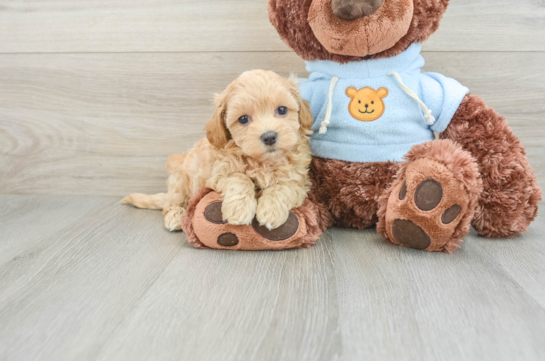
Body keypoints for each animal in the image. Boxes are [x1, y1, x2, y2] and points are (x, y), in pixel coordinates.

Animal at [121, 69, 312, 231]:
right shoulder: (219, 173)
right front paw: (239, 209)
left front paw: (271, 211)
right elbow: (240, 178)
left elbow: (283, 187)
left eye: (282, 109)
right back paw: (175, 217)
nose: (269, 136)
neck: (262, 162)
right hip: (180, 180)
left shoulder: (298, 181)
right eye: (243, 119)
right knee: (172, 203)